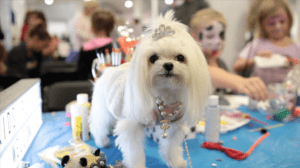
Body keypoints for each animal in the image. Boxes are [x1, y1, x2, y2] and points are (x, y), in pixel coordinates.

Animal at [89, 10, 211, 168]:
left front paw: (175, 162)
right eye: (153, 58)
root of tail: (107, 70)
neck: (165, 93)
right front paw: (137, 165)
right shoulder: (131, 126)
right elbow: (134, 152)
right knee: (98, 124)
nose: (168, 65)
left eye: (180, 57)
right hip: (103, 109)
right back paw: (101, 141)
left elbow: (170, 147)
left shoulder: (172, 126)